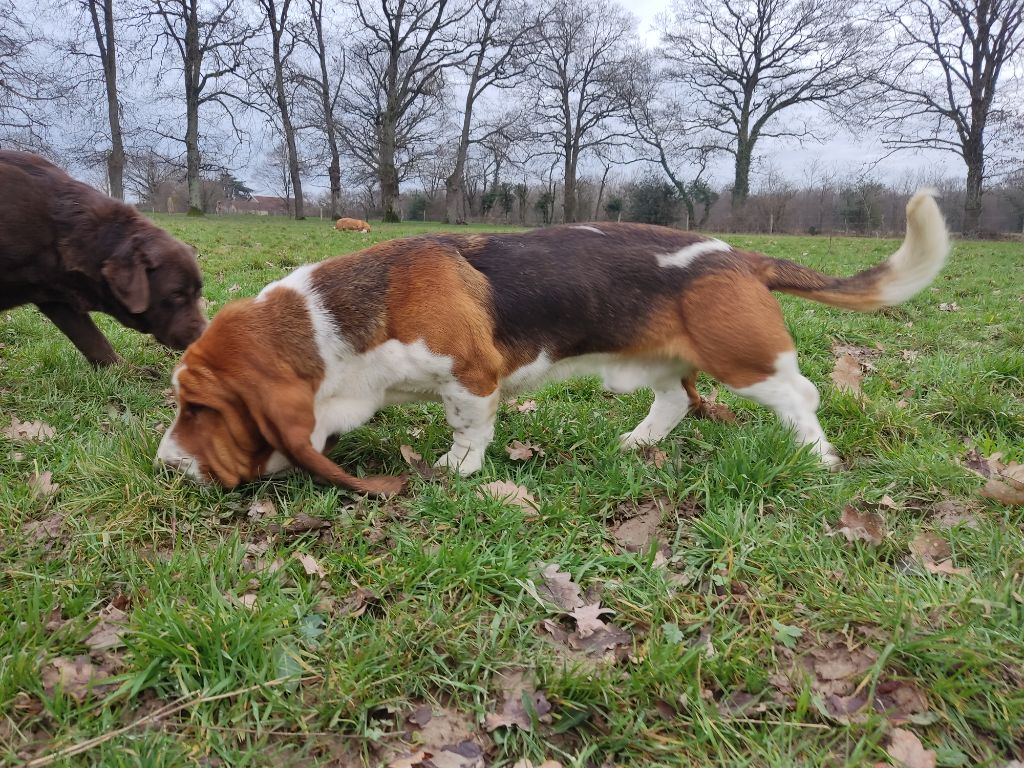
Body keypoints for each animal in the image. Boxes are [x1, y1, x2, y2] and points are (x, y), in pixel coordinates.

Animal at [0, 151, 207, 365]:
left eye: (198, 292)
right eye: (176, 295)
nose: (203, 335)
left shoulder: (58, 298)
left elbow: (93, 341)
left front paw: (125, 370)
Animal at [156, 191, 948, 494]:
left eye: (199, 409)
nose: (163, 466)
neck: (329, 321)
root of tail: (740, 256)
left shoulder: (471, 377)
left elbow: (467, 428)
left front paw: (458, 470)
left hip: (745, 361)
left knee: (799, 395)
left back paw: (815, 456)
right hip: (653, 362)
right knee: (675, 402)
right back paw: (637, 442)